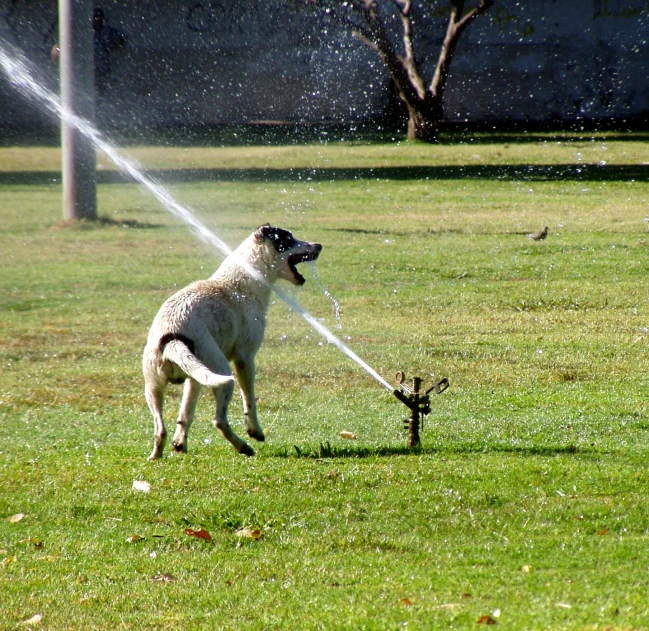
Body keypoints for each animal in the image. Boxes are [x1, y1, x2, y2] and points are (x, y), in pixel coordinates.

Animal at [144, 225, 322, 462]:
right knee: (219, 421)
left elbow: (186, 413)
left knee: (160, 429)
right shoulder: (245, 360)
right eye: (287, 240)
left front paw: (180, 443)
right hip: (224, 375)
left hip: (154, 387)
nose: (319, 245)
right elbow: (250, 401)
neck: (244, 280)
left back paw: (156, 455)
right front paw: (255, 430)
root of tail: (171, 334)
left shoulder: (195, 377)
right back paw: (243, 447)